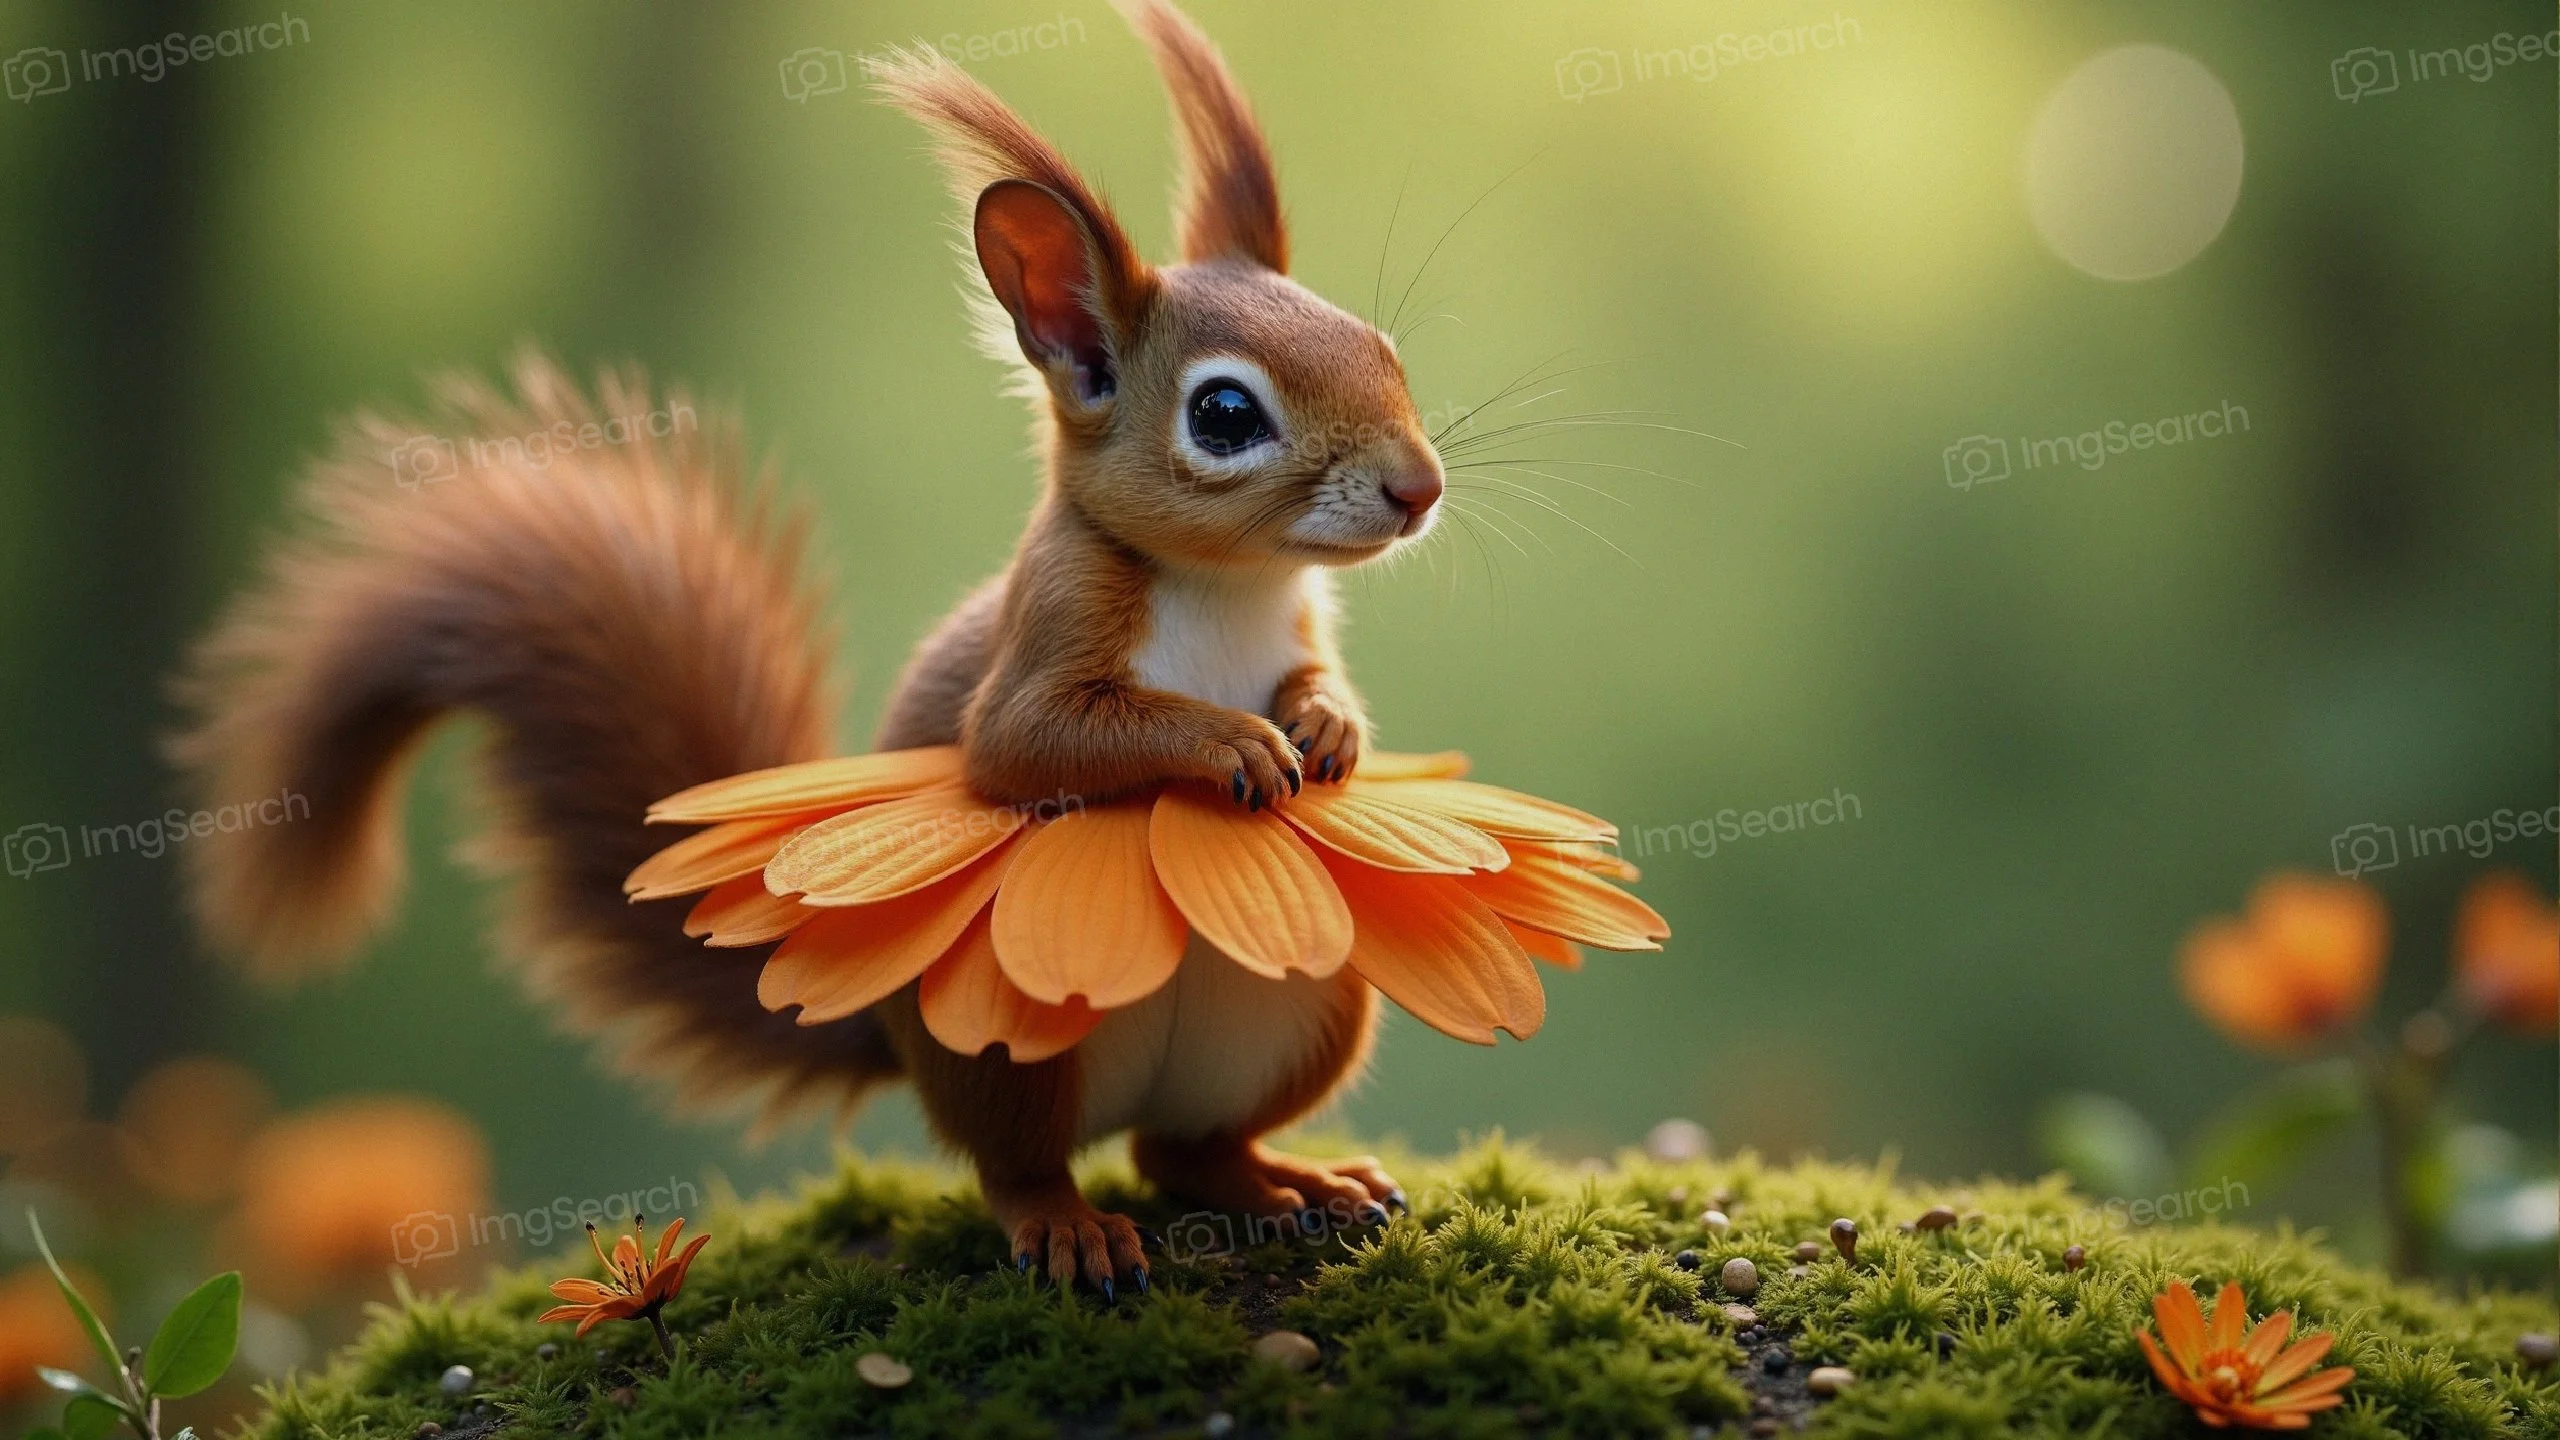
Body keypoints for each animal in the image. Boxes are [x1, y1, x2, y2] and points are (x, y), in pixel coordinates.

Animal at [173, 1, 1443, 1294]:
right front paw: (1229, 742)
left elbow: (1315, 674)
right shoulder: (1054, 625)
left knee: (1182, 1149)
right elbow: (1029, 745)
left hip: (1301, 1010)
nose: (1418, 488)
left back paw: (1290, 1182)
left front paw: (1325, 723)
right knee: (1025, 1163)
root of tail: (885, 1026)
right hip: (1008, 1045)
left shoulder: (1297, 623)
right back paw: (1071, 1226)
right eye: (1224, 415)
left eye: (1384, 352)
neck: (1231, 589)